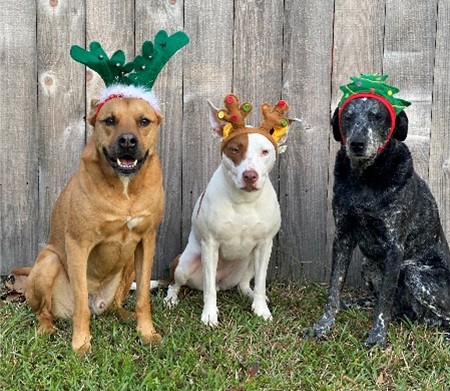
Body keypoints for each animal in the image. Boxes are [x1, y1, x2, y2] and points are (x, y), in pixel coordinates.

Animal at [21, 97, 165, 356]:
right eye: (110, 120)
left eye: (144, 121)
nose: (127, 140)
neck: (125, 189)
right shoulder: (78, 245)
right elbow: (81, 306)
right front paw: (81, 344)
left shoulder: (146, 240)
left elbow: (142, 297)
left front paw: (147, 333)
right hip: (49, 261)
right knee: (44, 311)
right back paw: (46, 328)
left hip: (129, 263)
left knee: (116, 303)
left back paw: (124, 315)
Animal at [163, 94, 290, 324]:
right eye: (235, 149)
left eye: (265, 151)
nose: (250, 176)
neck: (244, 201)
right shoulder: (210, 245)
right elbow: (209, 290)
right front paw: (209, 315)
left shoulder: (264, 244)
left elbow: (261, 282)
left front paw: (261, 309)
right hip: (184, 264)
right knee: (177, 283)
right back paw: (171, 300)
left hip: (249, 261)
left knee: (244, 282)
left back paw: (250, 294)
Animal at [308, 75, 450, 348]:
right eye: (348, 117)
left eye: (377, 116)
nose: (357, 144)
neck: (366, 179)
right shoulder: (343, 238)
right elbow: (334, 289)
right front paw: (323, 326)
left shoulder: (395, 248)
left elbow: (384, 301)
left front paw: (376, 337)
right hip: (368, 263)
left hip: (414, 273)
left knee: (434, 316)